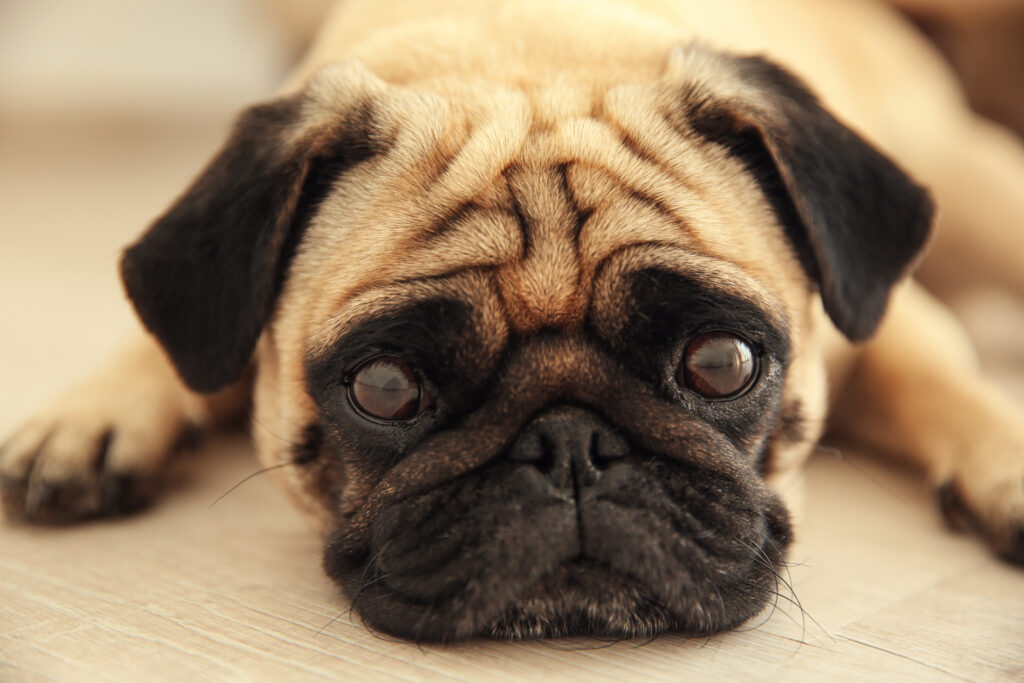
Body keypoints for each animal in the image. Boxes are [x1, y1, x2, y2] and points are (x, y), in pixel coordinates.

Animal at [6, 0, 1024, 643]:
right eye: (384, 387)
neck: (522, 59)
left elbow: (939, 371)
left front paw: (1005, 456)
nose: (571, 444)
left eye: (722, 363)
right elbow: (180, 347)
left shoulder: (878, 317)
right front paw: (94, 413)